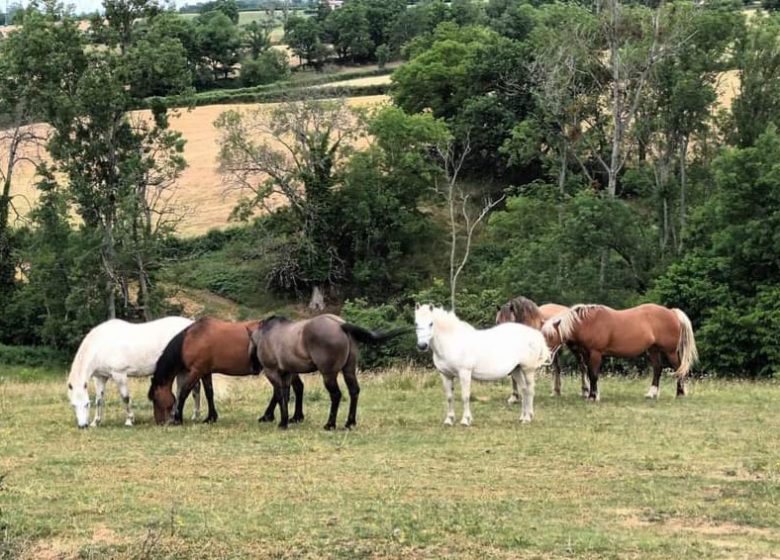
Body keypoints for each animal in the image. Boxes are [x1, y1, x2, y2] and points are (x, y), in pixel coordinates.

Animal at [66, 316, 198, 428]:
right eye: (73, 405)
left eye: (86, 404)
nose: (83, 426)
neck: (100, 347)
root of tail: (191, 324)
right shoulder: (100, 377)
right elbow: (99, 399)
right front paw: (96, 422)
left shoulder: (119, 374)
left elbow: (125, 398)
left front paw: (129, 421)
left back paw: (193, 416)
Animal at [148, 316, 304, 424]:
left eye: (155, 398)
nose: (159, 422)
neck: (192, 339)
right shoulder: (205, 372)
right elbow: (209, 393)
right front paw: (211, 418)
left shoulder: (196, 371)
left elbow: (184, 392)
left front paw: (178, 418)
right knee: (294, 388)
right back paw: (291, 417)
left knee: (287, 389)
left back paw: (277, 416)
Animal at [250, 316, 408, 428]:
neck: (267, 334)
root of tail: (341, 325)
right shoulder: (287, 373)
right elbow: (284, 395)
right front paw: (286, 418)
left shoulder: (272, 372)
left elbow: (280, 395)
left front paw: (281, 422)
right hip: (349, 370)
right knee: (354, 391)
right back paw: (350, 423)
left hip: (328, 375)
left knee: (336, 395)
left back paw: (330, 424)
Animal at [418, 304, 552, 426]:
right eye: (416, 323)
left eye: (431, 323)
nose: (422, 346)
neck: (452, 342)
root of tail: (535, 334)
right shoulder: (445, 375)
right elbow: (449, 397)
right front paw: (449, 420)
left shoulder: (464, 373)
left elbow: (465, 396)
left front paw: (465, 420)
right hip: (516, 370)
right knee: (524, 390)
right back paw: (522, 417)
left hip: (528, 369)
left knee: (530, 390)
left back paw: (528, 418)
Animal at [544, 304, 700, 400]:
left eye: (551, 336)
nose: (547, 358)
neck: (588, 323)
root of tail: (672, 312)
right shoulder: (587, 354)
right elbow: (590, 374)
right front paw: (592, 395)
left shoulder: (596, 353)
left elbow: (593, 375)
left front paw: (593, 397)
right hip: (653, 350)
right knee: (657, 369)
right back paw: (651, 393)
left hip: (670, 351)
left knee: (679, 369)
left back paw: (680, 393)